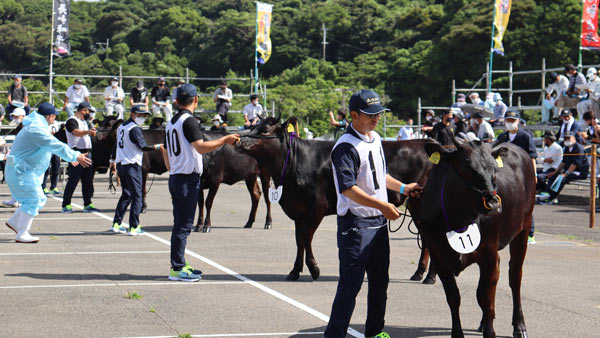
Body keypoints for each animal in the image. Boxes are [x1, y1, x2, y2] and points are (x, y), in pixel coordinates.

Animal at [237, 116, 434, 280]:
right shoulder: (298, 211)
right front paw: (294, 271)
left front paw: (314, 269)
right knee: (426, 238)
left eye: (264, 130)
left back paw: (429, 276)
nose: (239, 141)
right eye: (253, 126)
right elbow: (299, 240)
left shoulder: (316, 209)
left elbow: (306, 238)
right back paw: (419, 273)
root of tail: (426, 142)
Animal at [412, 139, 536, 338]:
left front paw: (490, 332)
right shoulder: (439, 257)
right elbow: (453, 296)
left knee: (515, 278)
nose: (494, 203)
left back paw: (519, 326)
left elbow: (484, 296)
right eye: (468, 168)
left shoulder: (488, 253)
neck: (458, 219)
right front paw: (458, 333)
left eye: (495, 170)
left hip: (523, 229)